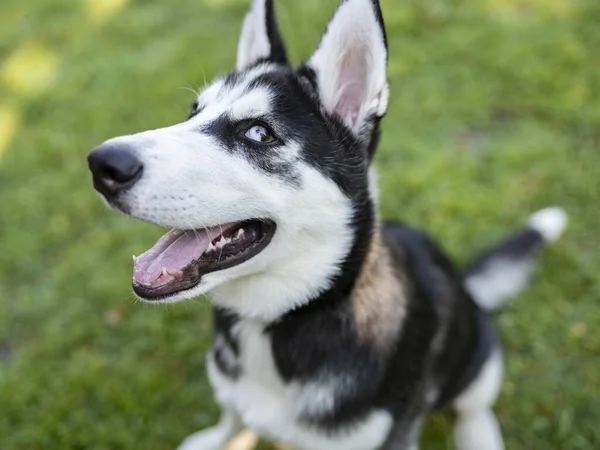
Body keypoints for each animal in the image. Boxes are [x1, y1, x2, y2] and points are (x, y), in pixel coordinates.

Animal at [88, 1, 568, 448]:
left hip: (480, 354)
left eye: (258, 133)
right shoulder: (233, 390)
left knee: (473, 405)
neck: (279, 320)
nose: (101, 165)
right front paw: (218, 437)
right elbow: (232, 413)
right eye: (193, 112)